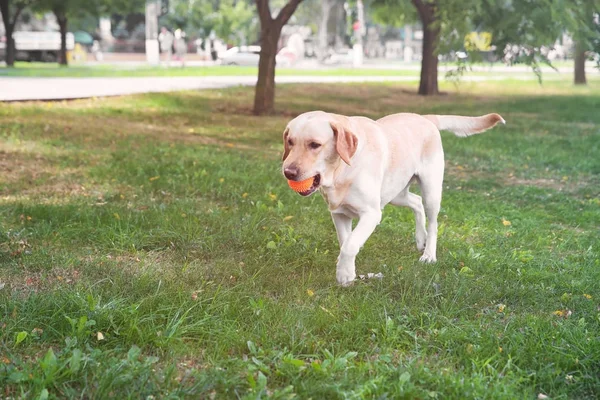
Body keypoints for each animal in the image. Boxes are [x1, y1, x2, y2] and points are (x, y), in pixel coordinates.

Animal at [282, 110, 506, 284]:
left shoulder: (372, 213)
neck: (341, 172)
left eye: (314, 144)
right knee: (416, 203)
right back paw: (420, 238)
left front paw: (344, 274)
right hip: (395, 193)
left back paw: (429, 253)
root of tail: (425, 117)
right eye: (290, 142)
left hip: (431, 190)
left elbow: (350, 245)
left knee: (433, 222)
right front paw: (348, 270)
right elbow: (346, 241)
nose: (288, 172)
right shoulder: (339, 214)